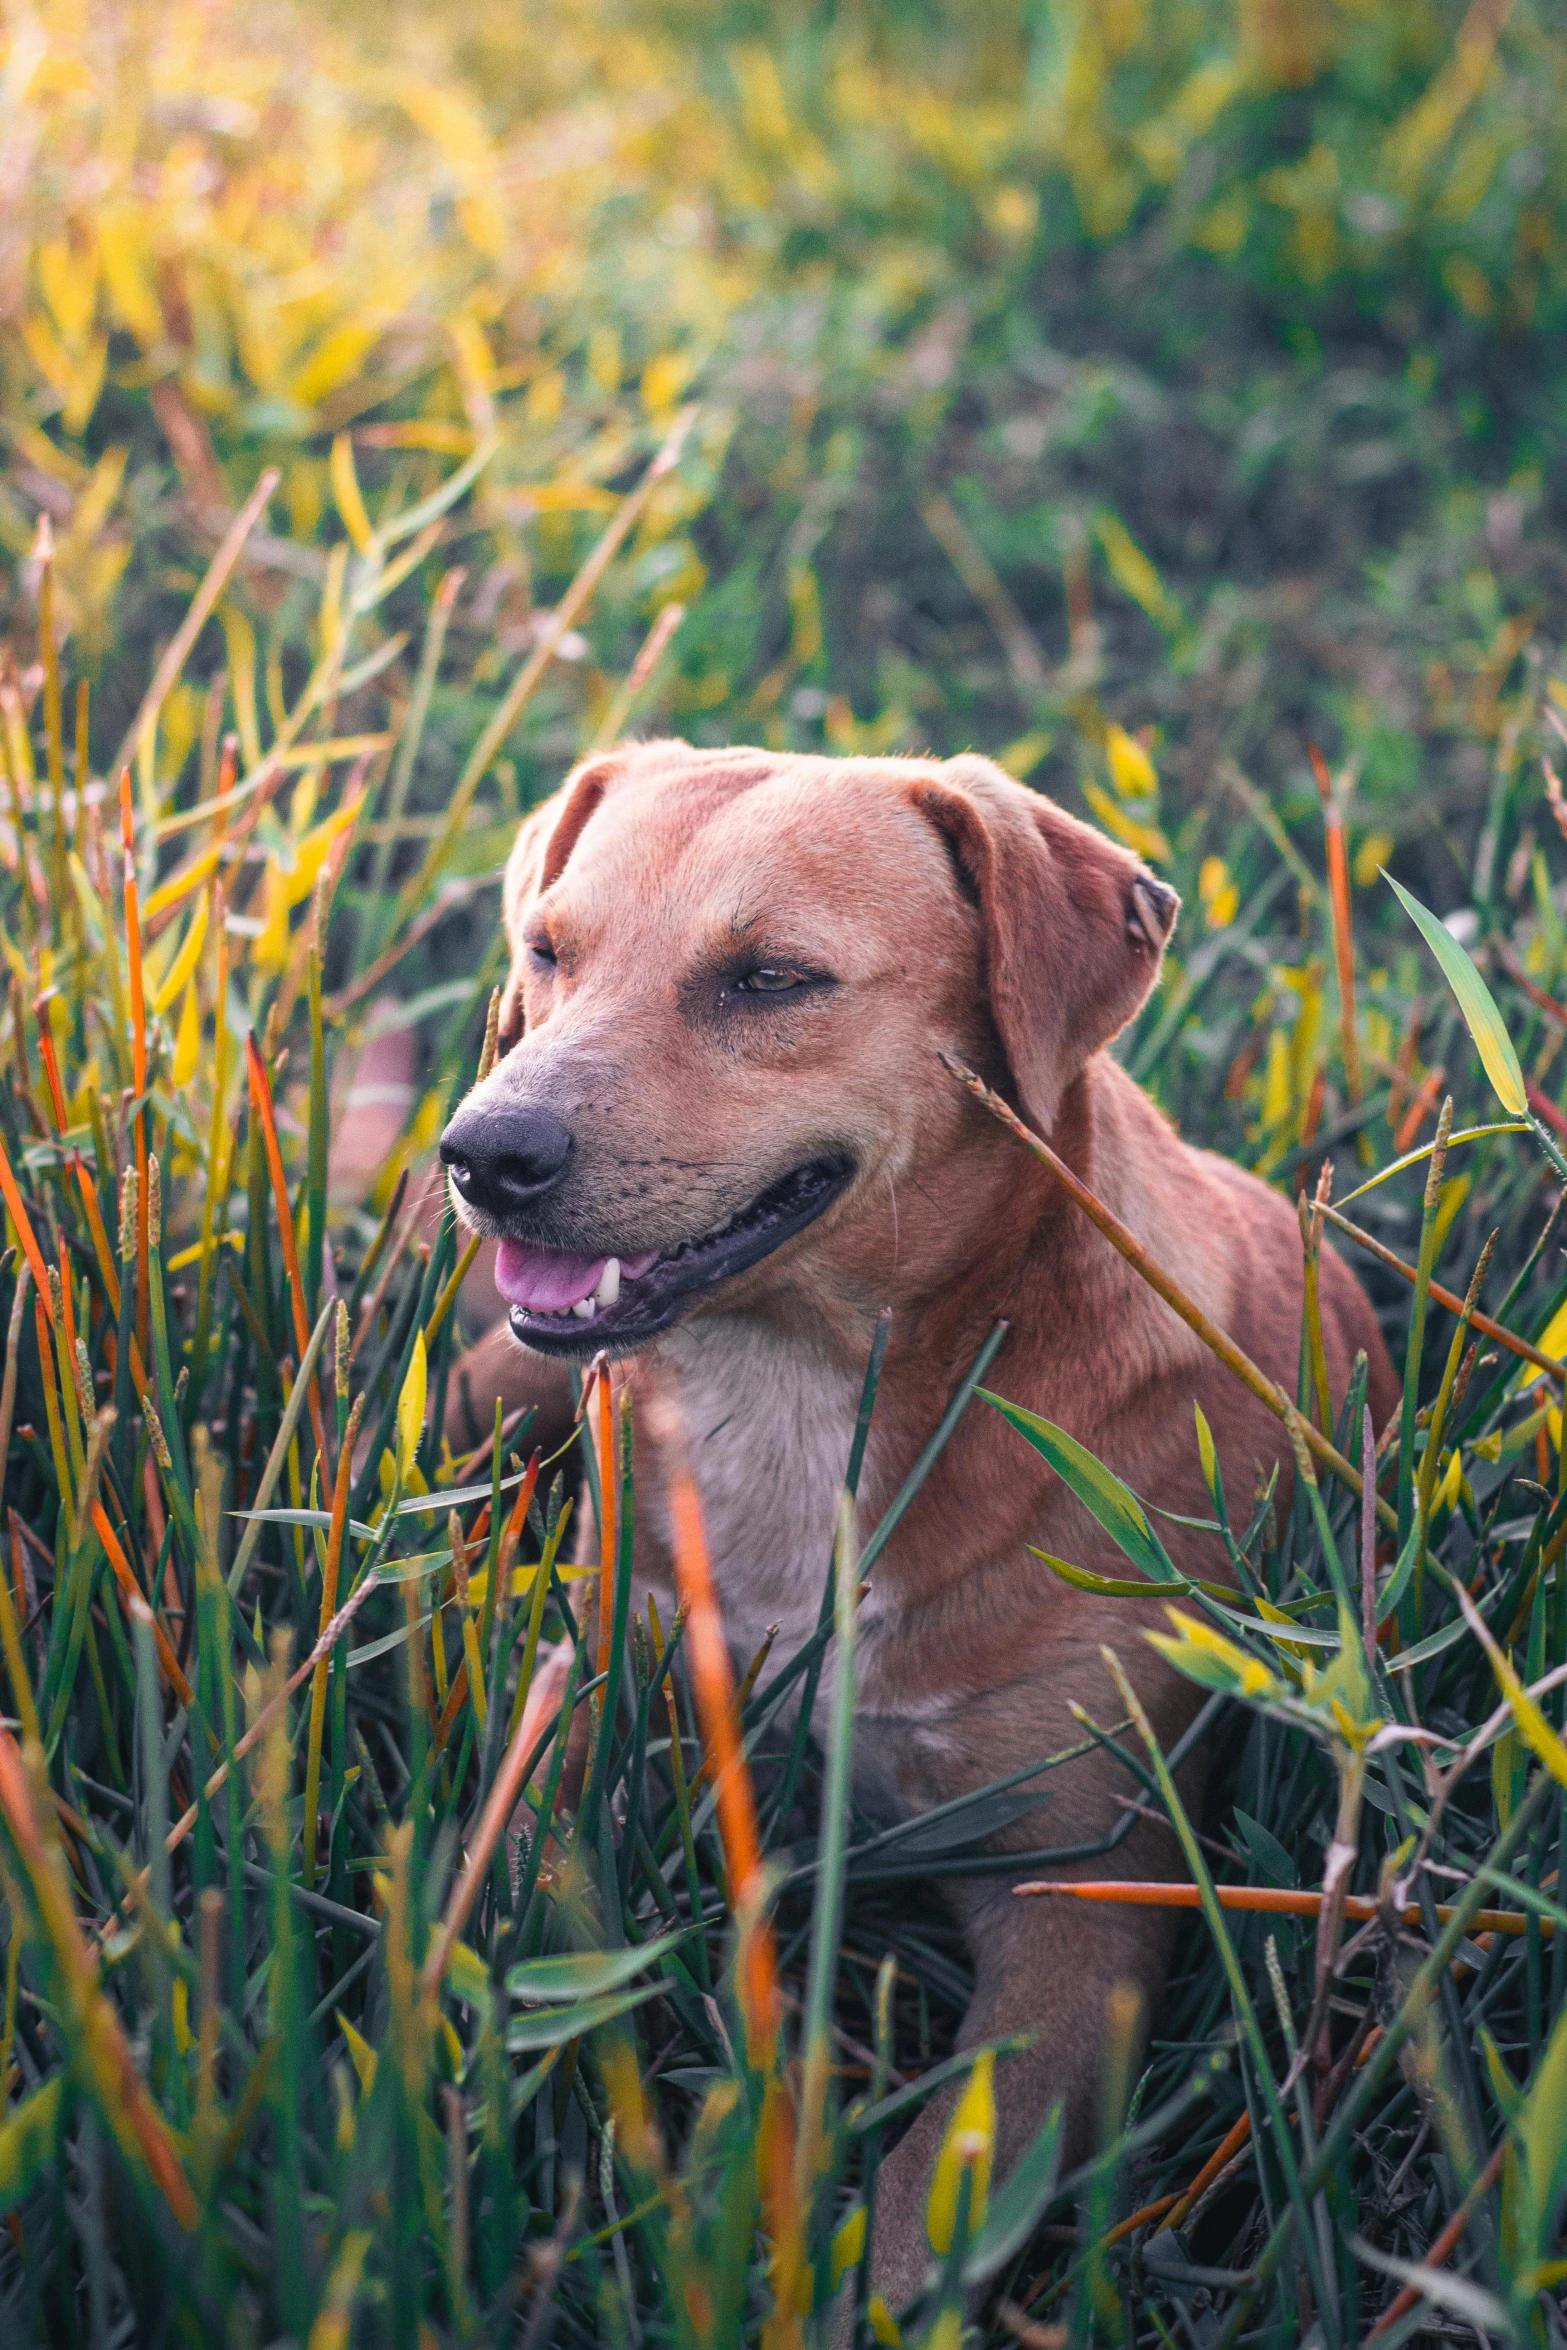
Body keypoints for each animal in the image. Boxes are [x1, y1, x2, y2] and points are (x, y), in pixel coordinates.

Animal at [439, 737, 1400, 2312]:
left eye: (769, 979)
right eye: (546, 950)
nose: (483, 1152)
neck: (797, 1390)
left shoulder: (1080, 1896)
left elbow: (930, 2191)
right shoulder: (590, 1724)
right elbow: (488, 1939)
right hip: (498, 1383)